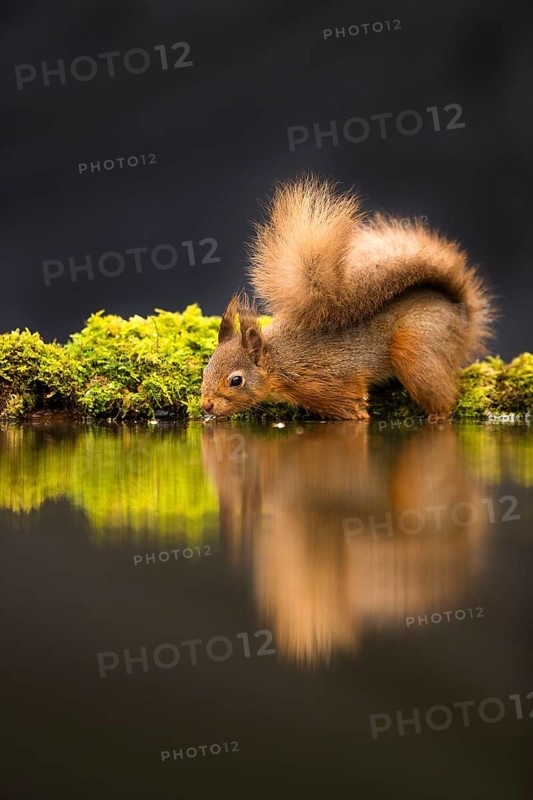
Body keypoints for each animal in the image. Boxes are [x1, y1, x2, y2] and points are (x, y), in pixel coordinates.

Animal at [201, 175, 494, 420]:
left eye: (236, 380)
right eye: (205, 368)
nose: (206, 405)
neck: (280, 361)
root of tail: (461, 313)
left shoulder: (329, 384)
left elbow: (352, 408)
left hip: (418, 348)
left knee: (442, 399)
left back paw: (435, 416)